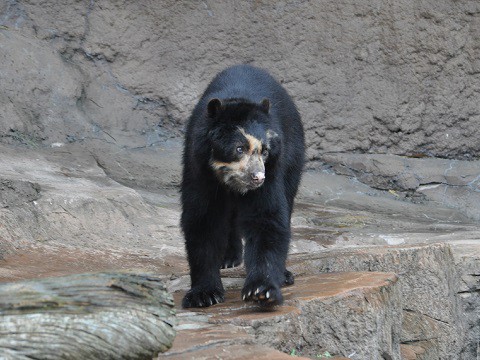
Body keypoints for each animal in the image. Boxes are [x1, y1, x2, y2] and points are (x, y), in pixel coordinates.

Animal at [180, 64, 304, 306]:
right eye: (239, 148)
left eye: (264, 151)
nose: (258, 177)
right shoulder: (199, 169)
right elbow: (203, 220)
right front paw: (203, 294)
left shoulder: (273, 169)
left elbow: (266, 218)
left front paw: (261, 290)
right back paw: (228, 258)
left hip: (294, 154)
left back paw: (283, 274)